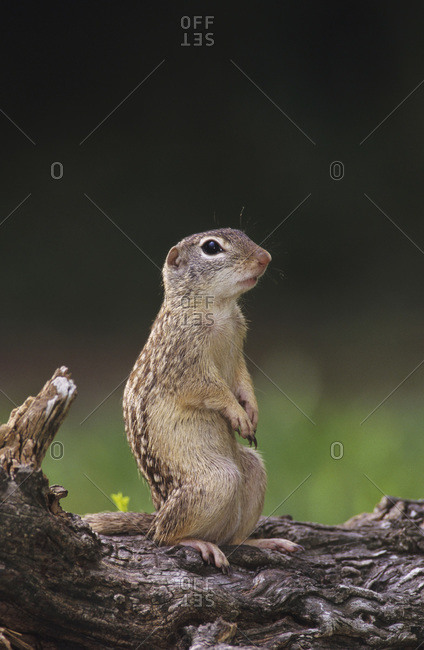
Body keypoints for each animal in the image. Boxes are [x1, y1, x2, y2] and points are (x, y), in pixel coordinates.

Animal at [84, 228, 302, 571]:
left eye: (242, 233)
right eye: (211, 247)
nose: (265, 257)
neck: (220, 308)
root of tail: (157, 511)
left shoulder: (237, 352)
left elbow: (242, 380)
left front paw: (251, 411)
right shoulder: (187, 364)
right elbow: (212, 390)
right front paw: (237, 414)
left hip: (253, 470)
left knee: (231, 538)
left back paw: (263, 541)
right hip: (217, 481)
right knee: (163, 536)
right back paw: (197, 542)